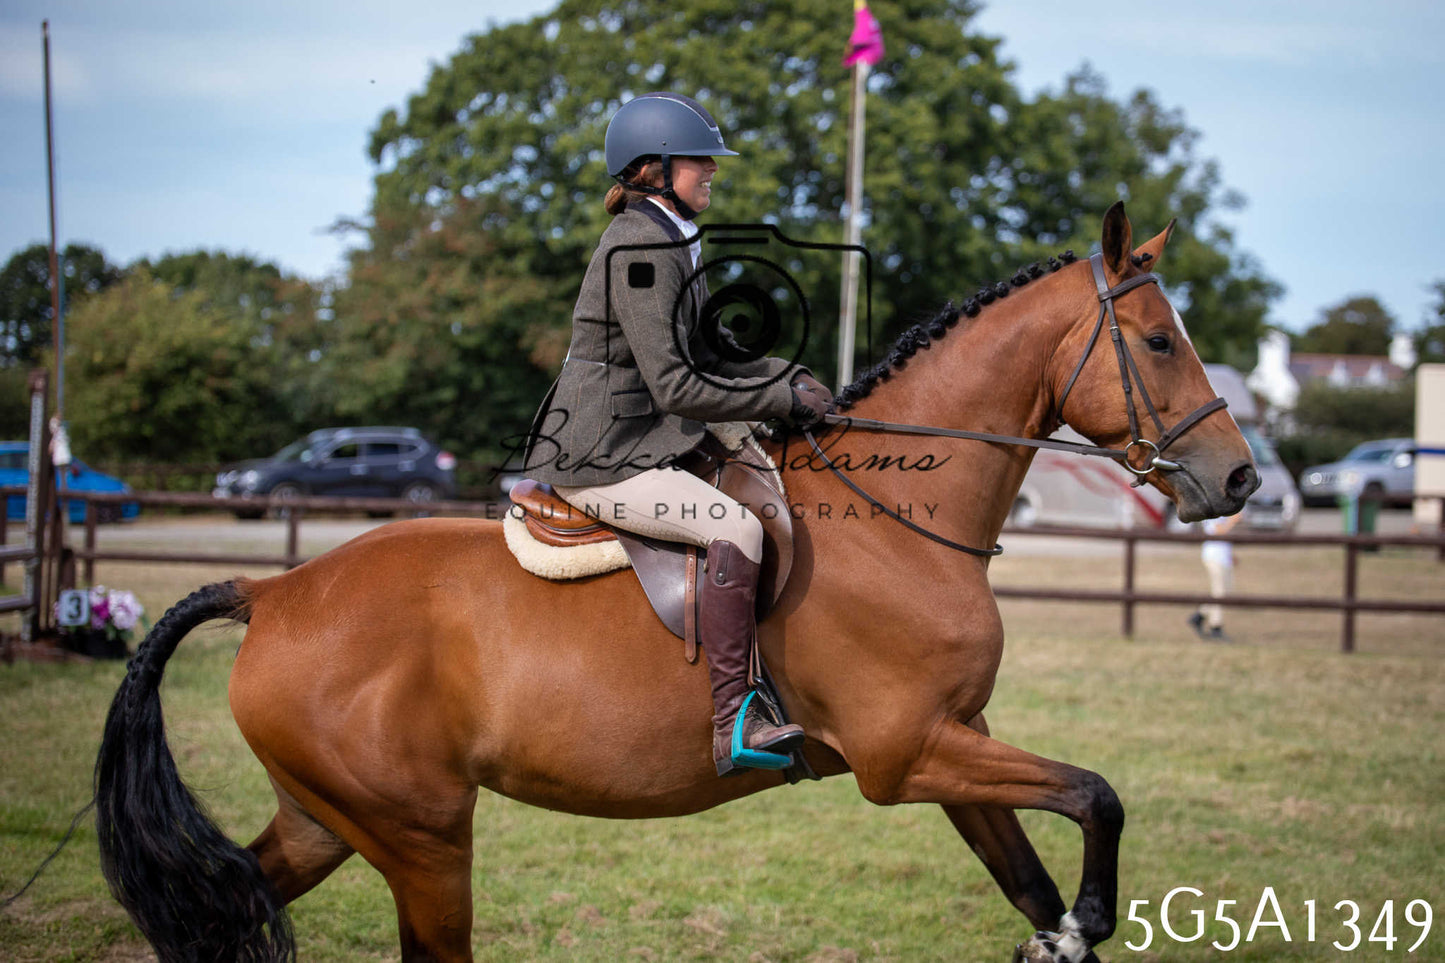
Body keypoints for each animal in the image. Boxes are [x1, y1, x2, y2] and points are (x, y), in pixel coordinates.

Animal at [94, 202, 1259, 962]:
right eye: (1159, 341)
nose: (1240, 477)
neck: (898, 523)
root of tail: (272, 592)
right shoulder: (904, 754)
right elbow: (1096, 793)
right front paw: (1090, 920)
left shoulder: (954, 739)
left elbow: (1030, 870)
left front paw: (1060, 936)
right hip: (421, 840)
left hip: (327, 819)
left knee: (231, 908)